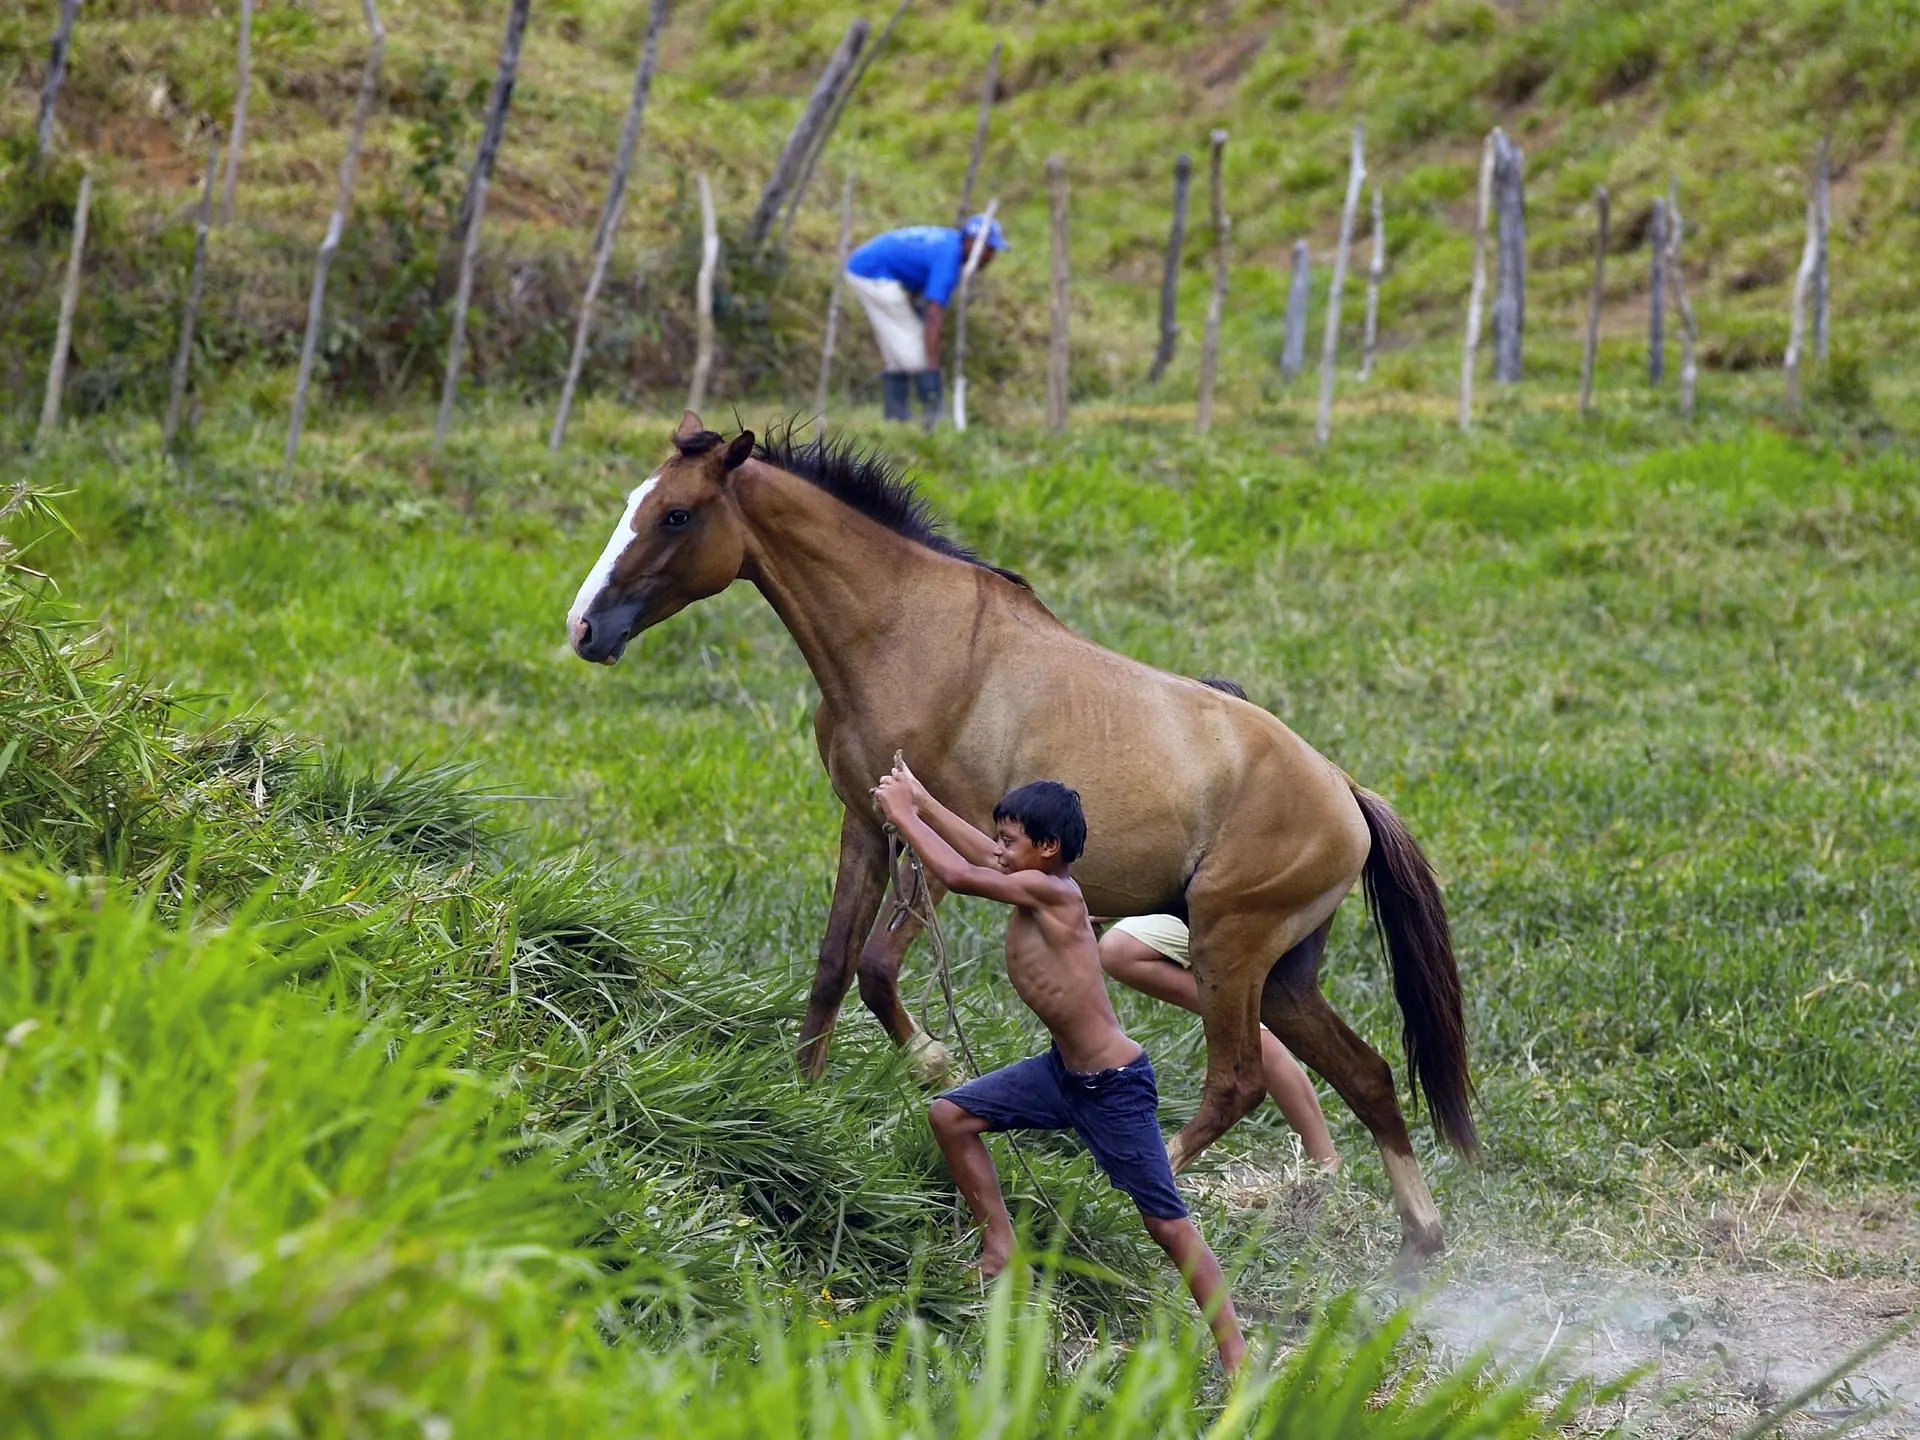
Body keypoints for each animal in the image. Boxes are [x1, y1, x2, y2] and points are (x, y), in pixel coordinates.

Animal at [560, 410, 1474, 1267]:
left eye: (676, 515)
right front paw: (803, 1104)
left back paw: (1104, 1188)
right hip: (1281, 974)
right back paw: (1418, 1245)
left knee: (1238, 1081)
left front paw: (932, 1064)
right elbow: (832, 970)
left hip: (1232, 948)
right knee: (1368, 1076)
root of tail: (1346, 792)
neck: (908, 635)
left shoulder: (945, 846)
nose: (583, 630)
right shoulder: (865, 826)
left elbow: (877, 969)